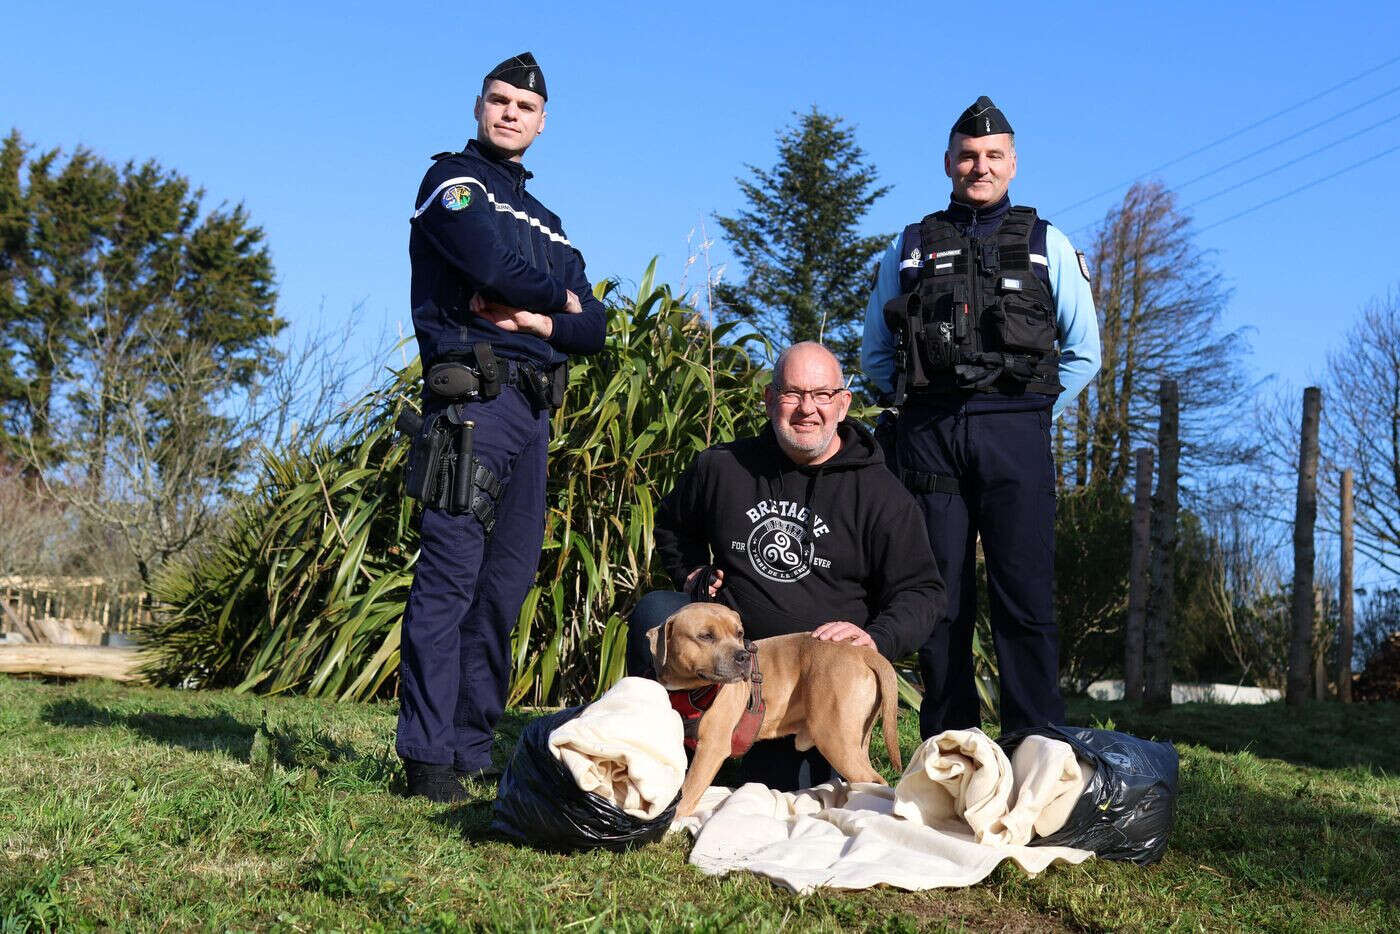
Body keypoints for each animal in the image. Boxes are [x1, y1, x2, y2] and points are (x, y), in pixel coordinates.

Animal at [649, 602, 901, 812]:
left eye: (739, 634)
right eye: (705, 636)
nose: (743, 656)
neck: (688, 690)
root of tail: (862, 651)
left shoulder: (711, 748)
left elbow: (689, 789)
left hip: (835, 739)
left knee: (875, 781)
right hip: (856, 740)